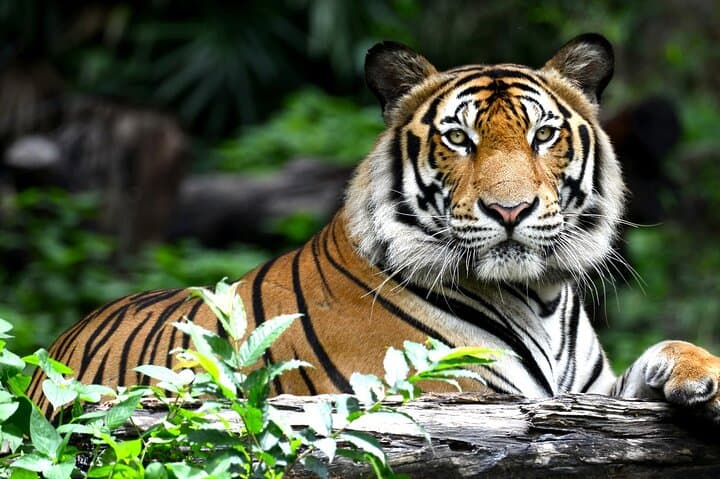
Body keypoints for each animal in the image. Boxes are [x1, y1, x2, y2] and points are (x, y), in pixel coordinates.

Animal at [29, 33, 720, 421]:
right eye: (458, 139)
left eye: (542, 135)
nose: (510, 210)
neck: (540, 295)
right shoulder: (456, 392)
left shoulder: (591, 392)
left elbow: (662, 351)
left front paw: (703, 376)